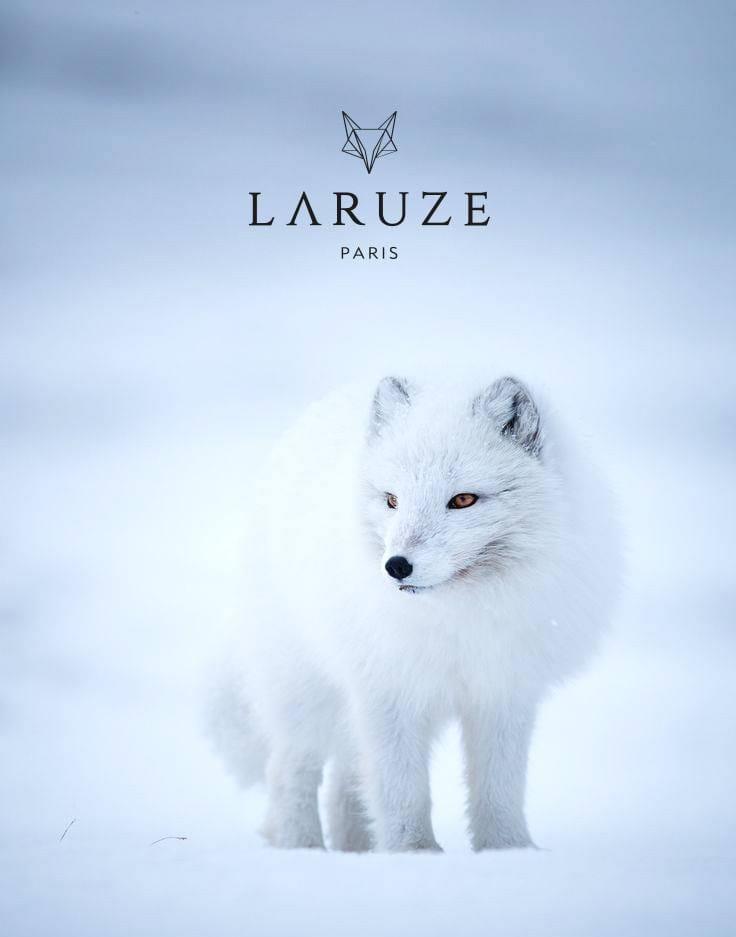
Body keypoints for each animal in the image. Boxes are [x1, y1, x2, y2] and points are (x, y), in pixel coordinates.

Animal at [209, 375, 620, 852]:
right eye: (392, 500)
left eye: (462, 499)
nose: (396, 566)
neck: (458, 617)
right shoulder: (387, 691)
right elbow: (401, 791)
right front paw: (414, 854)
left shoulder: (502, 692)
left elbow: (498, 788)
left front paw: (508, 850)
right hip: (304, 691)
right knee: (291, 768)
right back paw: (304, 848)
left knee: (345, 780)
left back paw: (355, 851)